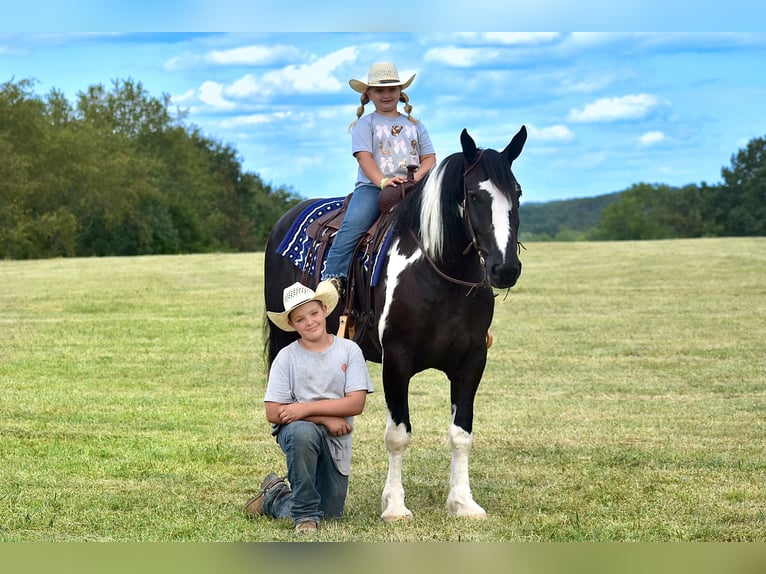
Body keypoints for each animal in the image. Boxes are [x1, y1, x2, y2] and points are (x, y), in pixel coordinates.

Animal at [264, 126, 528, 520]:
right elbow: (398, 435)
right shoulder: (397, 362)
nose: (506, 268)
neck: (439, 274)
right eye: (475, 195)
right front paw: (394, 506)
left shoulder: (471, 363)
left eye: (517, 193)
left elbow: (461, 434)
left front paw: (463, 502)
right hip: (284, 339)